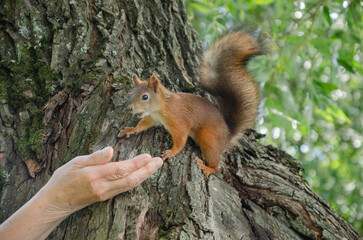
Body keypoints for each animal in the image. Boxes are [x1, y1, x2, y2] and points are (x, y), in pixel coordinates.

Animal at [119, 31, 262, 178]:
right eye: (132, 94)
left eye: (145, 97)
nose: (129, 108)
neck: (162, 108)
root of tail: (228, 135)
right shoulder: (153, 117)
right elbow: (143, 124)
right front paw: (131, 129)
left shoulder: (179, 120)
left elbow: (181, 138)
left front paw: (172, 151)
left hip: (209, 139)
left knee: (216, 164)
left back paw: (207, 168)